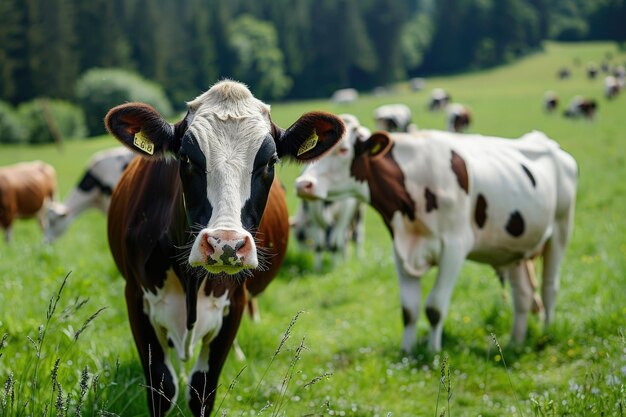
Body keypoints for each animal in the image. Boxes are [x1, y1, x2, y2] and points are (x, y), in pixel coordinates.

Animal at [104, 79, 344, 414]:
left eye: (270, 162)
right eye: (185, 158)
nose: (225, 245)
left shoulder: (234, 304)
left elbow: (201, 389)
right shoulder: (136, 297)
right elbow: (162, 386)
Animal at [294, 114, 370, 270]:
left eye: (344, 150)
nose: (303, 184)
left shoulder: (345, 211)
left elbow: (336, 243)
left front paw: (336, 268)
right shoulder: (312, 213)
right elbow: (319, 244)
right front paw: (317, 268)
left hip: (359, 209)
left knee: (356, 235)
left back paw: (357, 258)